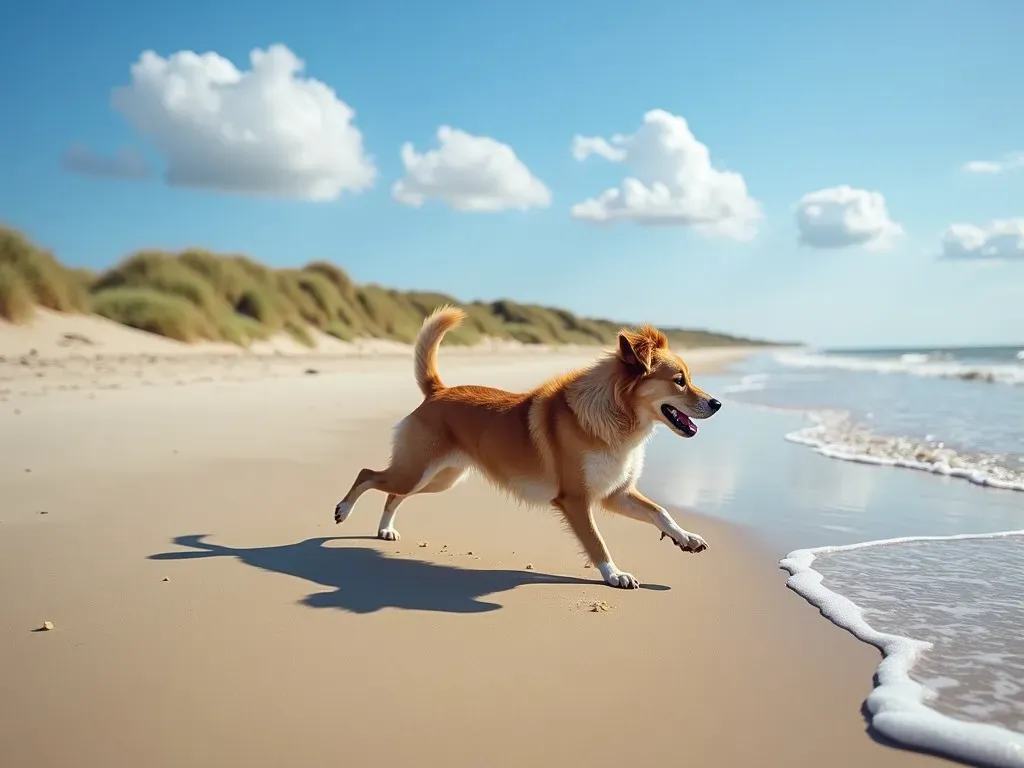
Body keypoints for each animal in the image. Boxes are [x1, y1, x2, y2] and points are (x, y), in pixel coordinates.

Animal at [335, 305, 720, 589]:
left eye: (690, 378)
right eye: (679, 381)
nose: (717, 404)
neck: (616, 418)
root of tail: (437, 390)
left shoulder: (615, 494)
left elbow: (661, 512)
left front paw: (685, 538)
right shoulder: (576, 500)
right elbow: (596, 541)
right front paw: (614, 574)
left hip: (439, 479)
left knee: (392, 494)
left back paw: (385, 529)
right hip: (416, 472)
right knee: (368, 474)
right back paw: (343, 510)